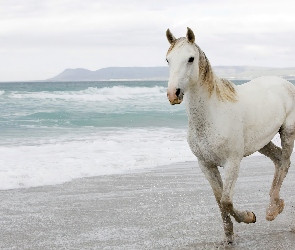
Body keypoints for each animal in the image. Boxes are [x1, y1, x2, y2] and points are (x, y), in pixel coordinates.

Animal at [165, 27, 295, 242]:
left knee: (284, 163)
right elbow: (219, 200)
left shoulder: (232, 162)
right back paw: (275, 207)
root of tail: (285, 83)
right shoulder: (206, 165)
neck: (214, 113)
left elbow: (226, 200)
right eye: (168, 59)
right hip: (263, 143)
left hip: (287, 132)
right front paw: (228, 236)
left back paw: (271, 211)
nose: (173, 94)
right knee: (278, 160)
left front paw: (249, 217)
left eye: (190, 58)